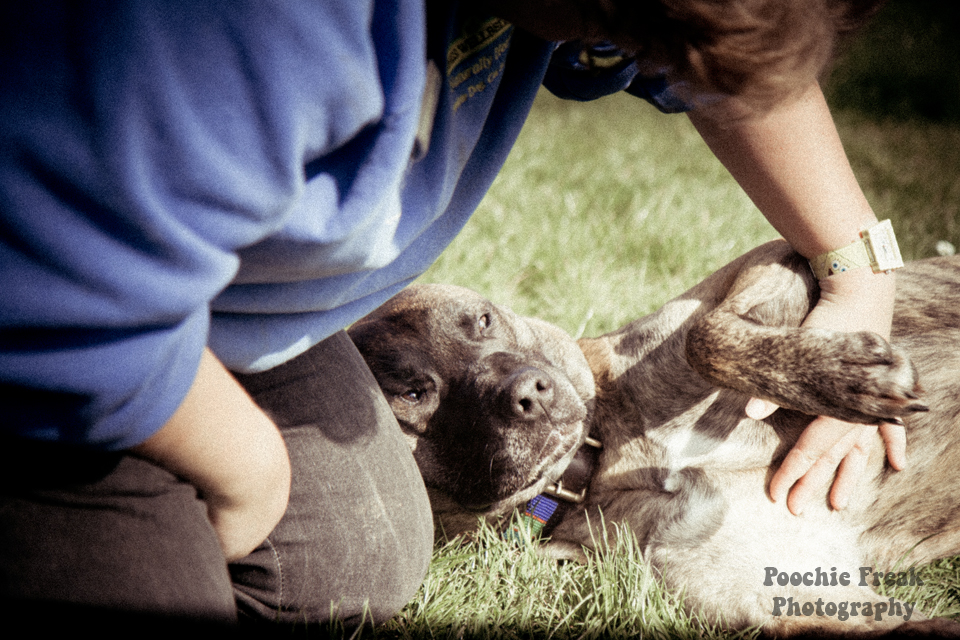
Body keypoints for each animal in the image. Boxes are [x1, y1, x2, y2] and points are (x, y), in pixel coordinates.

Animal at [346, 241, 960, 636]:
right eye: (413, 395)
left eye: (483, 320)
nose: (530, 394)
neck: (597, 466)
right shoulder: (804, 599)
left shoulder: (777, 263)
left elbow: (705, 335)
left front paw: (847, 374)